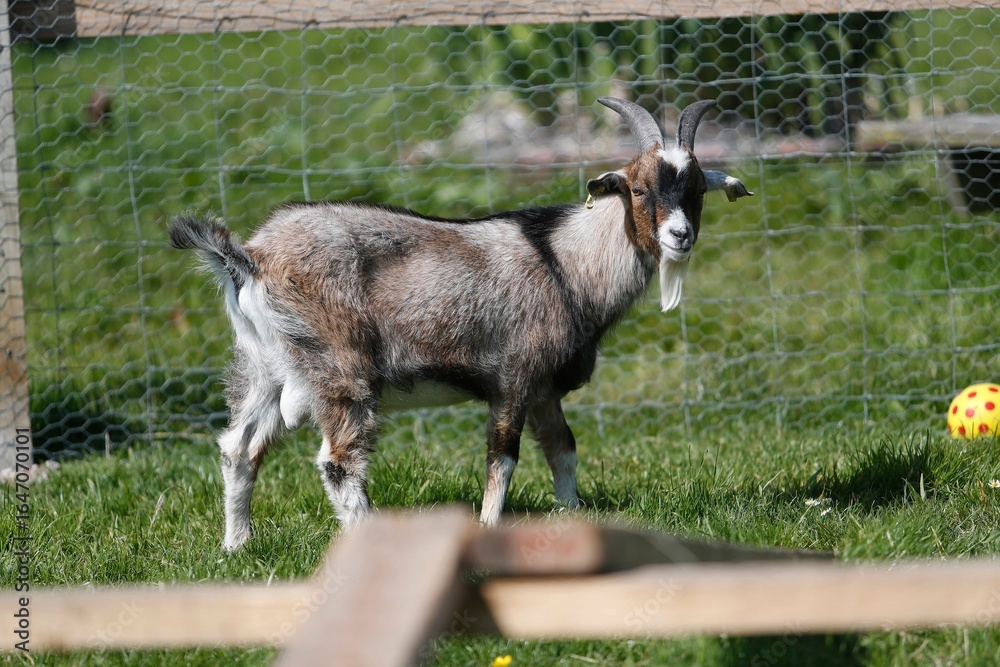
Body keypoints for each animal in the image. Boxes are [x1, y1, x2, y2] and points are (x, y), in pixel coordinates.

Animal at [169, 97, 753, 550]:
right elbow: (503, 457)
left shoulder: (545, 388)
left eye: (697, 190)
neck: (566, 262)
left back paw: (237, 546)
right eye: (636, 188)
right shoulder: (514, 376)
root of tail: (250, 258)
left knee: (239, 448)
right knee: (339, 462)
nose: (680, 236)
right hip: (339, 369)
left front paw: (574, 519)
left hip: (262, 367)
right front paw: (488, 530)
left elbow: (563, 450)